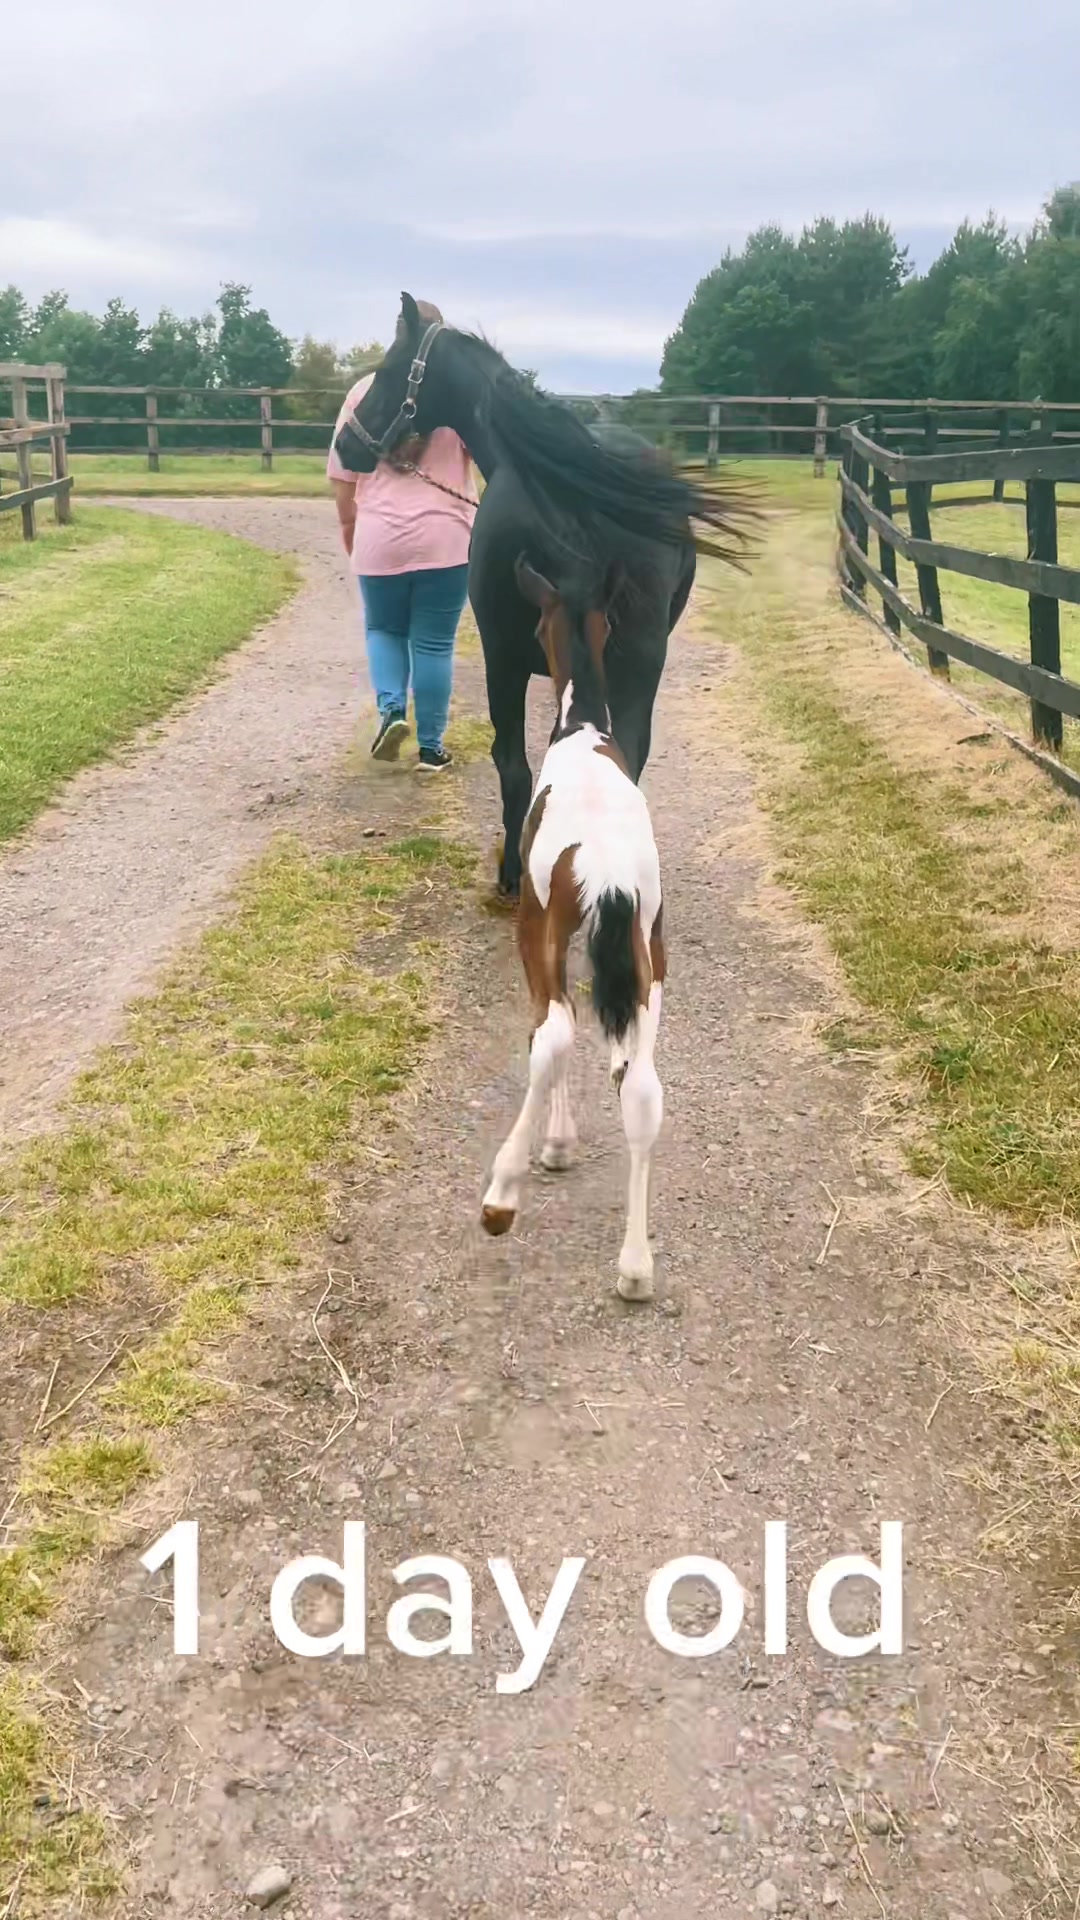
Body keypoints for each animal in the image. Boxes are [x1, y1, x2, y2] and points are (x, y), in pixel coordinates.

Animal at [332, 293, 758, 899]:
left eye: (389, 370)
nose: (346, 444)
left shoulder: (504, 660)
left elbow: (516, 767)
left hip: (521, 663)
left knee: (520, 766)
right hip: (638, 662)